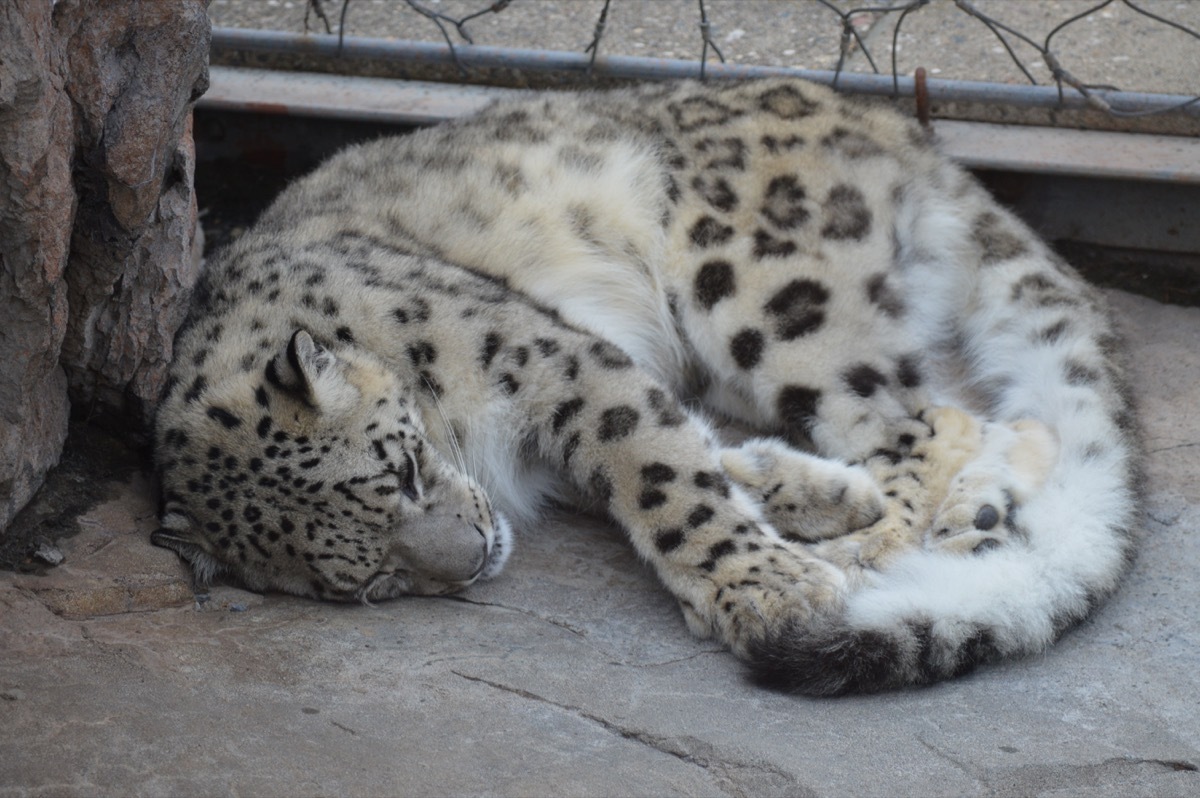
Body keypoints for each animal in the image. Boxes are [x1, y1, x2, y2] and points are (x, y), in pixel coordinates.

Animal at [154, 78, 1137, 696]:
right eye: (363, 585)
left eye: (403, 471)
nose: (469, 559)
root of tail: (892, 121)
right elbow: (684, 459)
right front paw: (799, 496)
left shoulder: (550, 360)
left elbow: (661, 476)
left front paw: (773, 592)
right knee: (1000, 426)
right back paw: (967, 518)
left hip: (765, 299)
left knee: (924, 418)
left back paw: (867, 555)